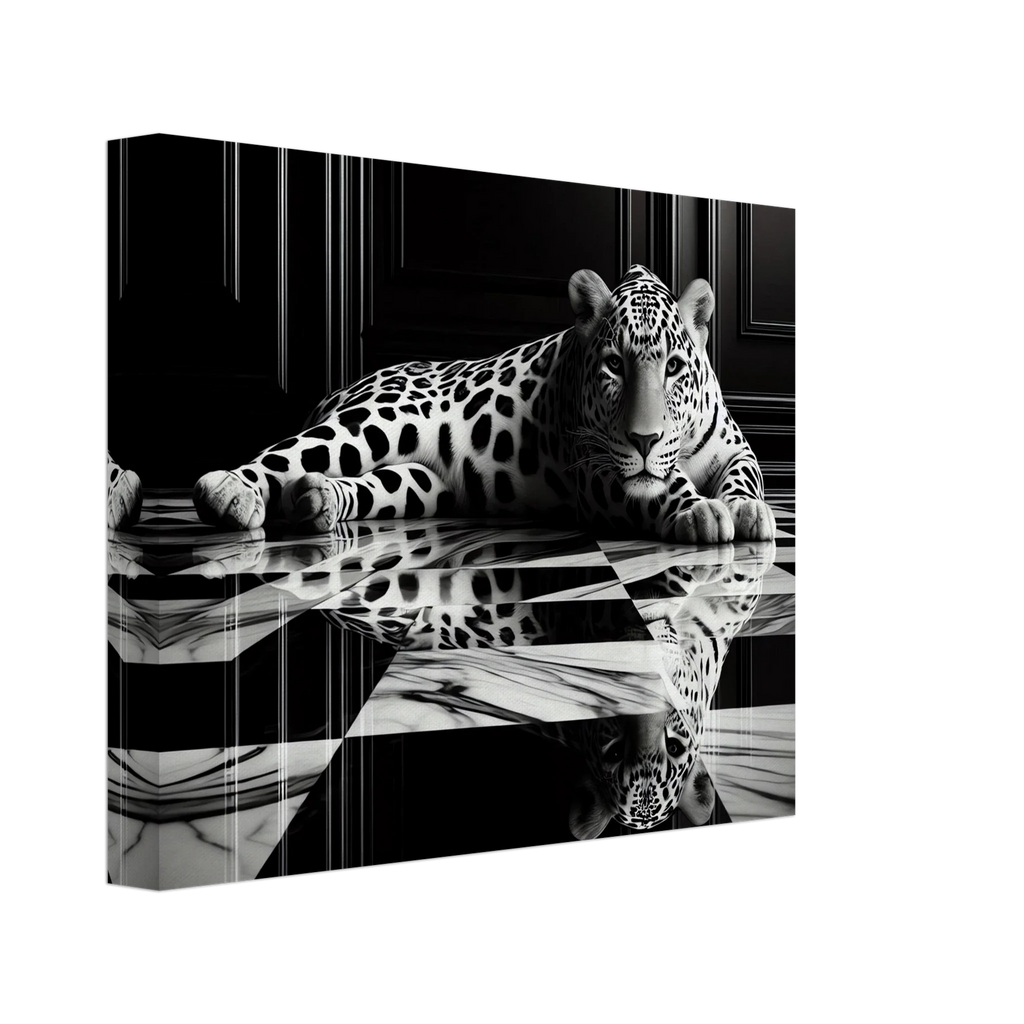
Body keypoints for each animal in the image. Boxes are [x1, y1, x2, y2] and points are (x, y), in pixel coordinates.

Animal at [192, 265, 775, 544]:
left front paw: (745, 509)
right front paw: (700, 510)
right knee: (289, 452)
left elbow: (744, 475)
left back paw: (318, 500)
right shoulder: (600, 471)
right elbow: (663, 483)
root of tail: (342, 388)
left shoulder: (735, 447)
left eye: (673, 367)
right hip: (382, 418)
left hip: (422, 484)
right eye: (614, 364)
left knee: (363, 481)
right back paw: (229, 492)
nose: (645, 439)